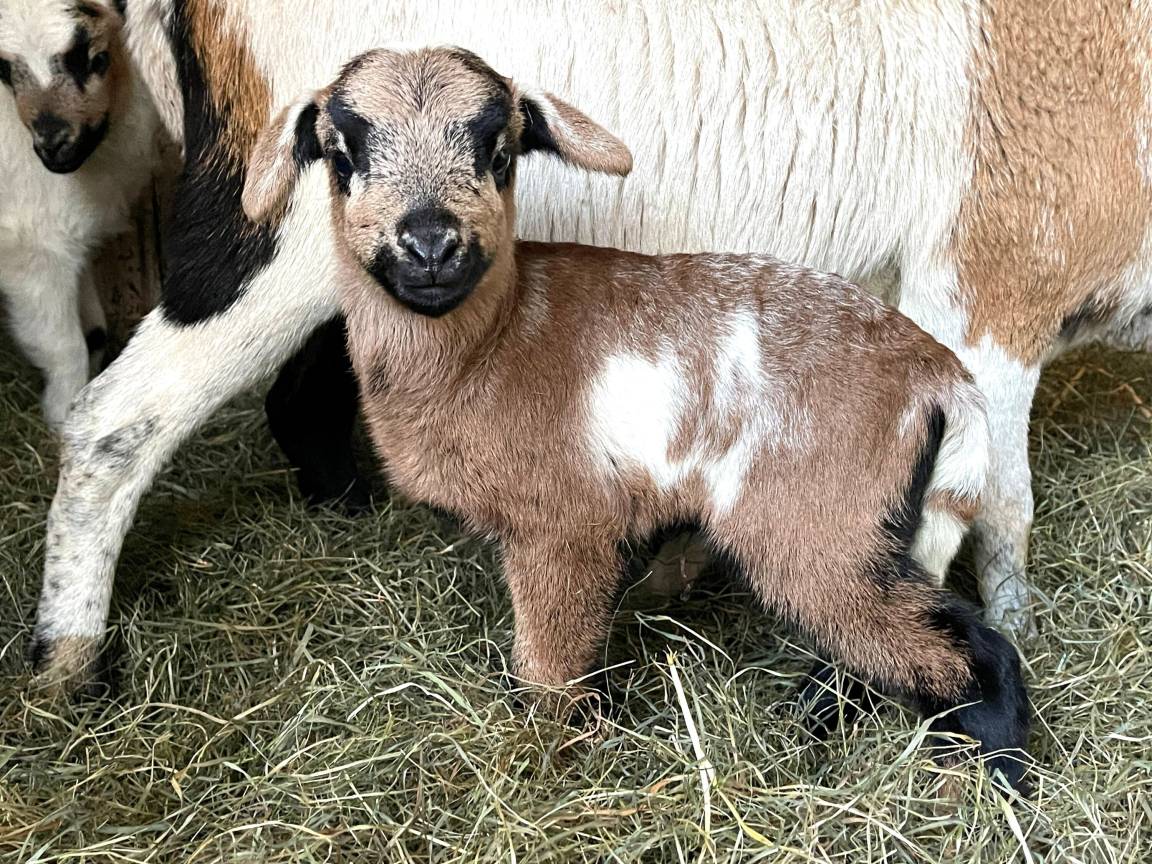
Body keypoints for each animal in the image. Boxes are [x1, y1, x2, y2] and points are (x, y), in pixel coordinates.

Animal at [0, 0, 158, 430]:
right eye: (3, 70)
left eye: (96, 58)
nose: (54, 146)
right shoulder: (30, 249)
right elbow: (65, 348)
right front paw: (62, 419)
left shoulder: (71, 236)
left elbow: (96, 332)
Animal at [28, 0, 1152, 693]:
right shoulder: (983, 291)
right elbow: (987, 502)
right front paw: (970, 639)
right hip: (269, 230)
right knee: (115, 424)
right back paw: (68, 661)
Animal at [235, 46, 1032, 791]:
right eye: (344, 156)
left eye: (498, 154)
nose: (431, 244)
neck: (487, 347)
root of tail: (940, 377)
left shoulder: (565, 526)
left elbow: (550, 664)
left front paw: (553, 749)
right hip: (875, 524)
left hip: (816, 523)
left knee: (963, 650)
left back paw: (1001, 778)